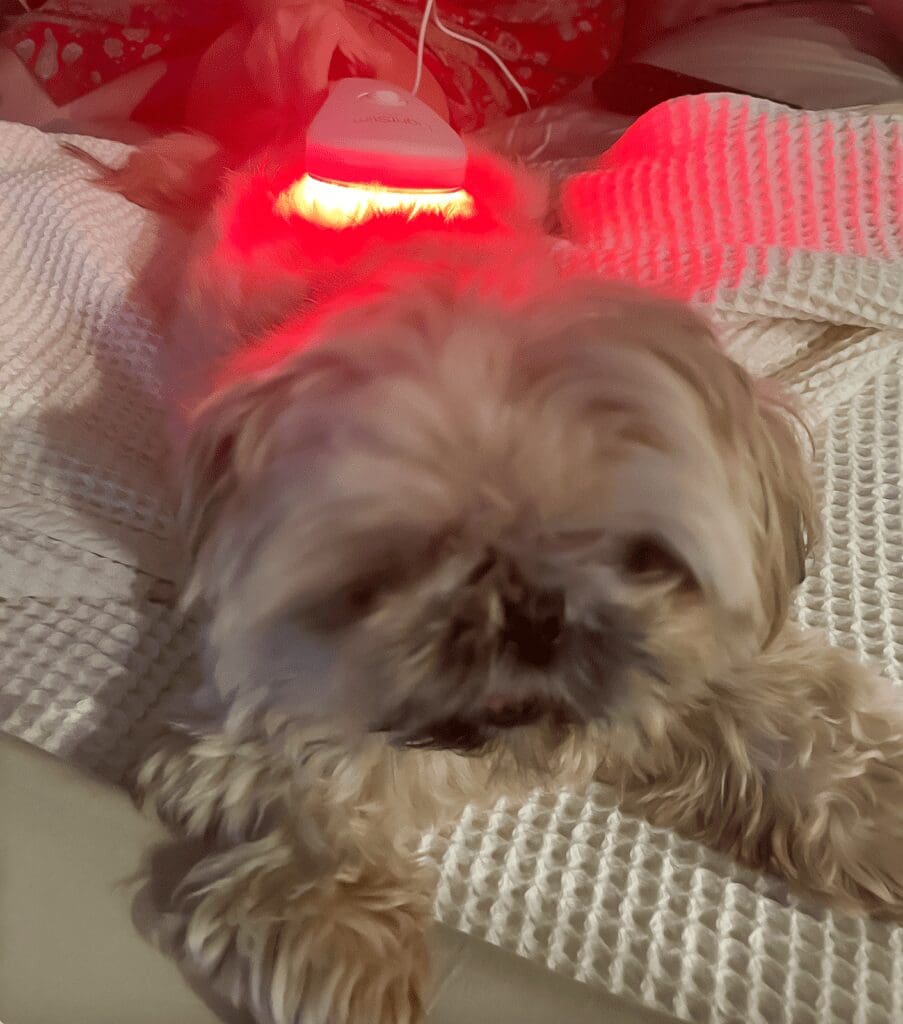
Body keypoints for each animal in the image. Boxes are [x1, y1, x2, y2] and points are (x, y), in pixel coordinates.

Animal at [73, 130, 903, 1024]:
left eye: (645, 554)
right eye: (391, 565)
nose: (534, 610)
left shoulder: (708, 645)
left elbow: (790, 717)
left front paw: (872, 804)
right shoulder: (249, 701)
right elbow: (310, 771)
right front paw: (339, 929)